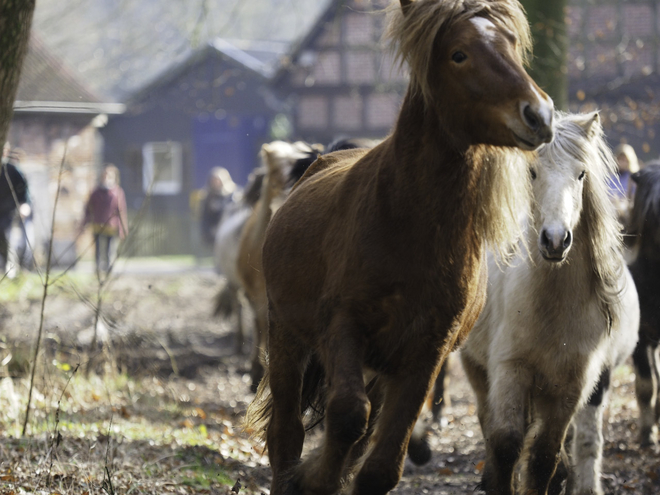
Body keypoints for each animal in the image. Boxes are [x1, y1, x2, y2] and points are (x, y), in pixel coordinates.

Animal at [245, 0, 556, 494]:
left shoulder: (426, 352)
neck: (409, 226)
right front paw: (313, 479)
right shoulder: (344, 326)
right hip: (288, 334)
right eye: (458, 54)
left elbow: (378, 463)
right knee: (286, 432)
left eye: (511, 44)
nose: (539, 114)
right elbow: (347, 416)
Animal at [458, 112, 640, 495]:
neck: (553, 308)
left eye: (581, 174)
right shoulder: (511, 370)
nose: (556, 240)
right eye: (532, 172)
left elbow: (544, 456)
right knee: (487, 422)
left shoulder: (572, 386)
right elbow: (506, 444)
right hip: (476, 367)